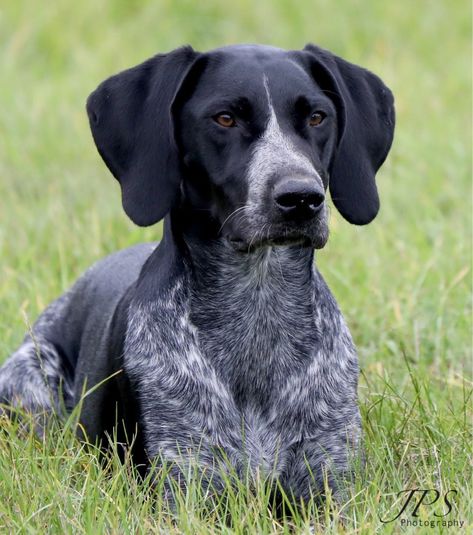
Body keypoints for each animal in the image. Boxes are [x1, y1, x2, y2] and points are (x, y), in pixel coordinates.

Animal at [0, 44, 394, 504]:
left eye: (317, 117)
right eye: (224, 118)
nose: (301, 198)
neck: (258, 308)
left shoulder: (331, 484)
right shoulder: (183, 489)